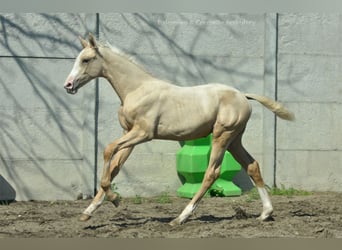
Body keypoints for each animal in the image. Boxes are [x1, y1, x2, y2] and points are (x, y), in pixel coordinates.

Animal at [64, 32, 294, 225]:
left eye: (86, 60)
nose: (68, 85)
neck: (137, 89)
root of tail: (243, 96)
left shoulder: (143, 133)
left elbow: (108, 150)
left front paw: (115, 199)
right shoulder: (128, 134)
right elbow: (114, 167)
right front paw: (89, 211)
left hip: (222, 135)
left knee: (212, 172)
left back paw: (181, 217)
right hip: (234, 139)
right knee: (252, 166)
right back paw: (265, 213)